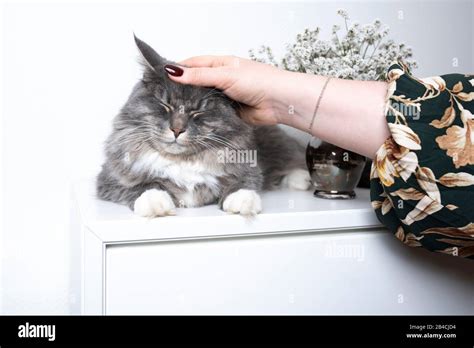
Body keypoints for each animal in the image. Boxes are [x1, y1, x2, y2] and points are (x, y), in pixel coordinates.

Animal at [96, 34, 312, 215]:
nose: (177, 129)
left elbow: (243, 182)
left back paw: (303, 179)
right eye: (165, 105)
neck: (182, 161)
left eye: (198, 111)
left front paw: (242, 200)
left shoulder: (248, 167)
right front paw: (155, 201)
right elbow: (141, 186)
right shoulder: (108, 179)